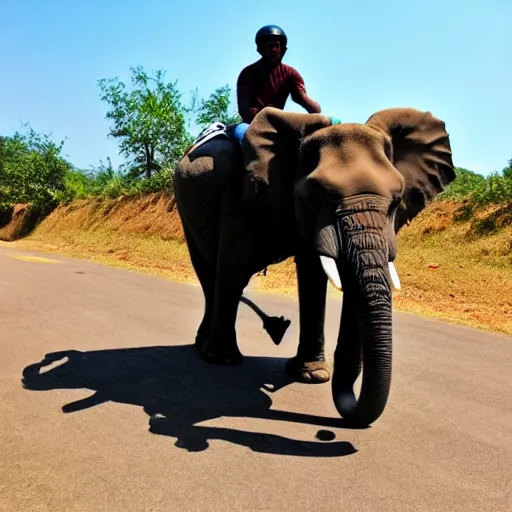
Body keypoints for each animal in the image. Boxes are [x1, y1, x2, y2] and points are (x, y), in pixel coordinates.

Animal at [174, 106, 454, 426]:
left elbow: (313, 275)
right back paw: (210, 351)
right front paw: (225, 362)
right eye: (319, 196)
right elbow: (234, 268)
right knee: (210, 273)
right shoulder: (239, 192)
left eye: (396, 202)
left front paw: (312, 375)